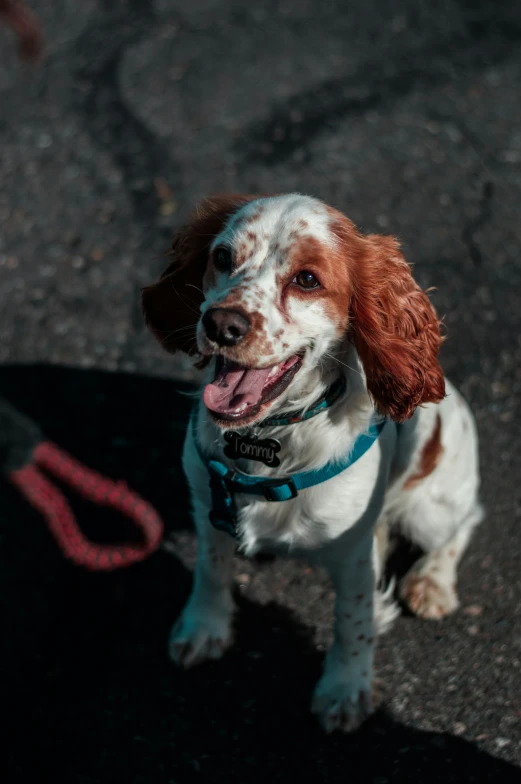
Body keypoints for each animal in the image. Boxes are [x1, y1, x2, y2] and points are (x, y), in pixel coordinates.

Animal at [140, 193, 482, 732]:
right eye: (222, 257)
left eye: (306, 279)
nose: (221, 324)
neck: (268, 440)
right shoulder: (207, 504)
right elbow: (210, 571)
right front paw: (203, 627)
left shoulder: (354, 554)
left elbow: (353, 621)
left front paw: (345, 689)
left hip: (431, 508)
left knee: (465, 522)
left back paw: (432, 583)